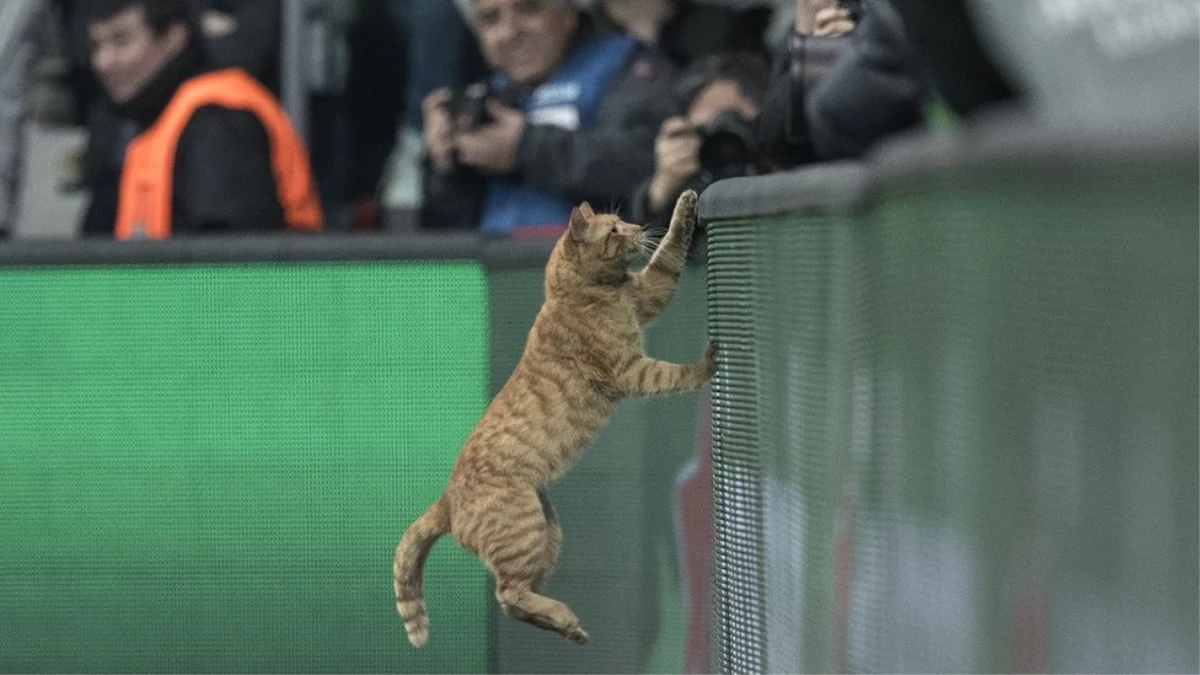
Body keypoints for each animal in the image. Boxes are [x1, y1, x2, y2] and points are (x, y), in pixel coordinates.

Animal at [391, 189, 710, 648]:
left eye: (623, 222)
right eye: (615, 230)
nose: (638, 228)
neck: (580, 291)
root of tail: (446, 501)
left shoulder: (650, 291)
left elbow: (669, 251)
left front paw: (684, 205)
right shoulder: (630, 371)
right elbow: (677, 374)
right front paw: (709, 362)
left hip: (549, 533)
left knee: (515, 601)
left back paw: (568, 627)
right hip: (525, 532)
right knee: (508, 593)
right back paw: (564, 617)